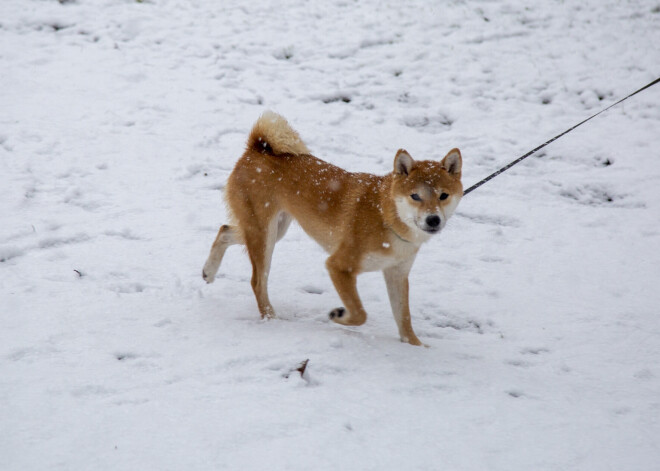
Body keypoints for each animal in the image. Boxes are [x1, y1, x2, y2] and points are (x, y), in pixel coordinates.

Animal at [202, 111, 464, 346]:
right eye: (415, 196)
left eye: (443, 196)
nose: (433, 220)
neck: (387, 218)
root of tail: (257, 148)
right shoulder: (339, 266)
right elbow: (360, 313)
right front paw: (339, 316)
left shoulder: (397, 274)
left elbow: (404, 319)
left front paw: (416, 347)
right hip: (263, 235)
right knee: (257, 281)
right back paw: (271, 318)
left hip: (275, 229)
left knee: (225, 230)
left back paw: (209, 271)